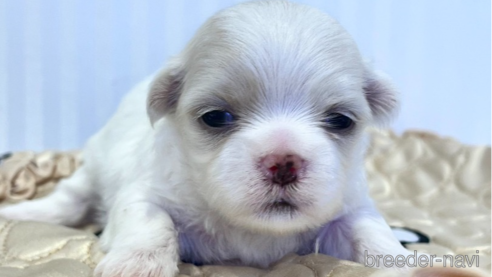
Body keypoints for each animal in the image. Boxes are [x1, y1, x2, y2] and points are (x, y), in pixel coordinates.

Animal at [0, 1, 412, 274]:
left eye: (340, 120)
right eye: (216, 118)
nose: (283, 162)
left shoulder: (349, 205)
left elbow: (371, 230)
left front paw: (403, 261)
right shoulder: (145, 192)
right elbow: (152, 221)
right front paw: (137, 263)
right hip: (94, 167)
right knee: (67, 201)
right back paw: (21, 212)